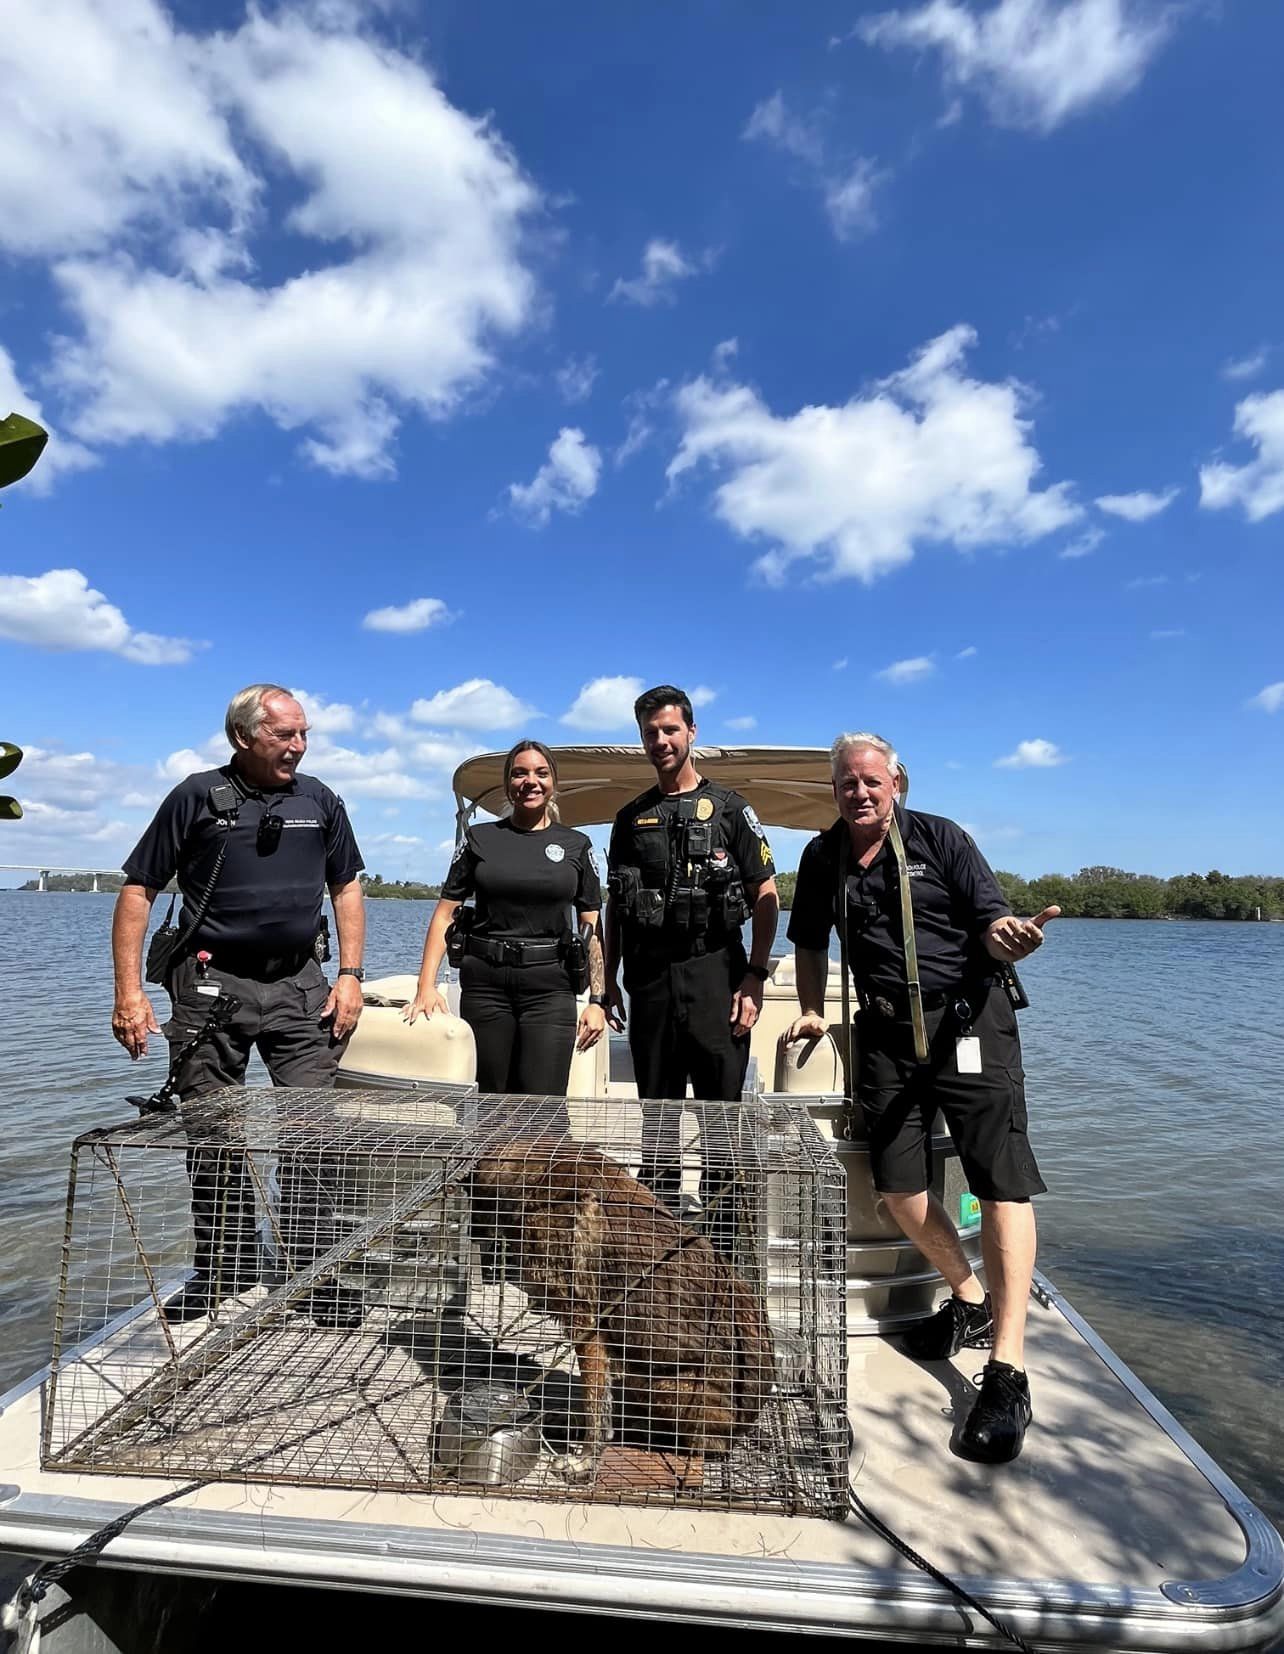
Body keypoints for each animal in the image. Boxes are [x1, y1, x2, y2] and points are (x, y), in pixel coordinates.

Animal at [469, 1137, 771, 1488]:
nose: (471, 1235)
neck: (534, 1173)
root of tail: (745, 1426)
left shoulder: (586, 1327)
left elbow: (596, 1408)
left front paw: (585, 1463)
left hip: (656, 1381)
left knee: (682, 1440)